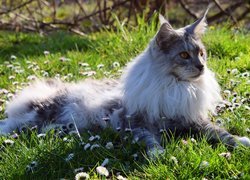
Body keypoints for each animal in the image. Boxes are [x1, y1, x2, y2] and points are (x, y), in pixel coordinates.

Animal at [0, 10, 250, 158]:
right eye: (184, 55)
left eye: (201, 53)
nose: (201, 67)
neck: (175, 88)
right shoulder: (133, 123)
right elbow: (149, 140)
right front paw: (159, 155)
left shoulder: (193, 121)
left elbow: (222, 134)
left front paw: (241, 142)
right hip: (36, 117)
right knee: (9, 124)